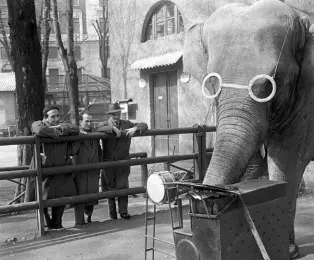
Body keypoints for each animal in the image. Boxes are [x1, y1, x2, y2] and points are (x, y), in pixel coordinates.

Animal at [183, 0, 312, 258]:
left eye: (274, 80)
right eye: (211, 82)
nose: (202, 196)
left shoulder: (307, 97)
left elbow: (286, 160)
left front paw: (288, 251)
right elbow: (254, 162)